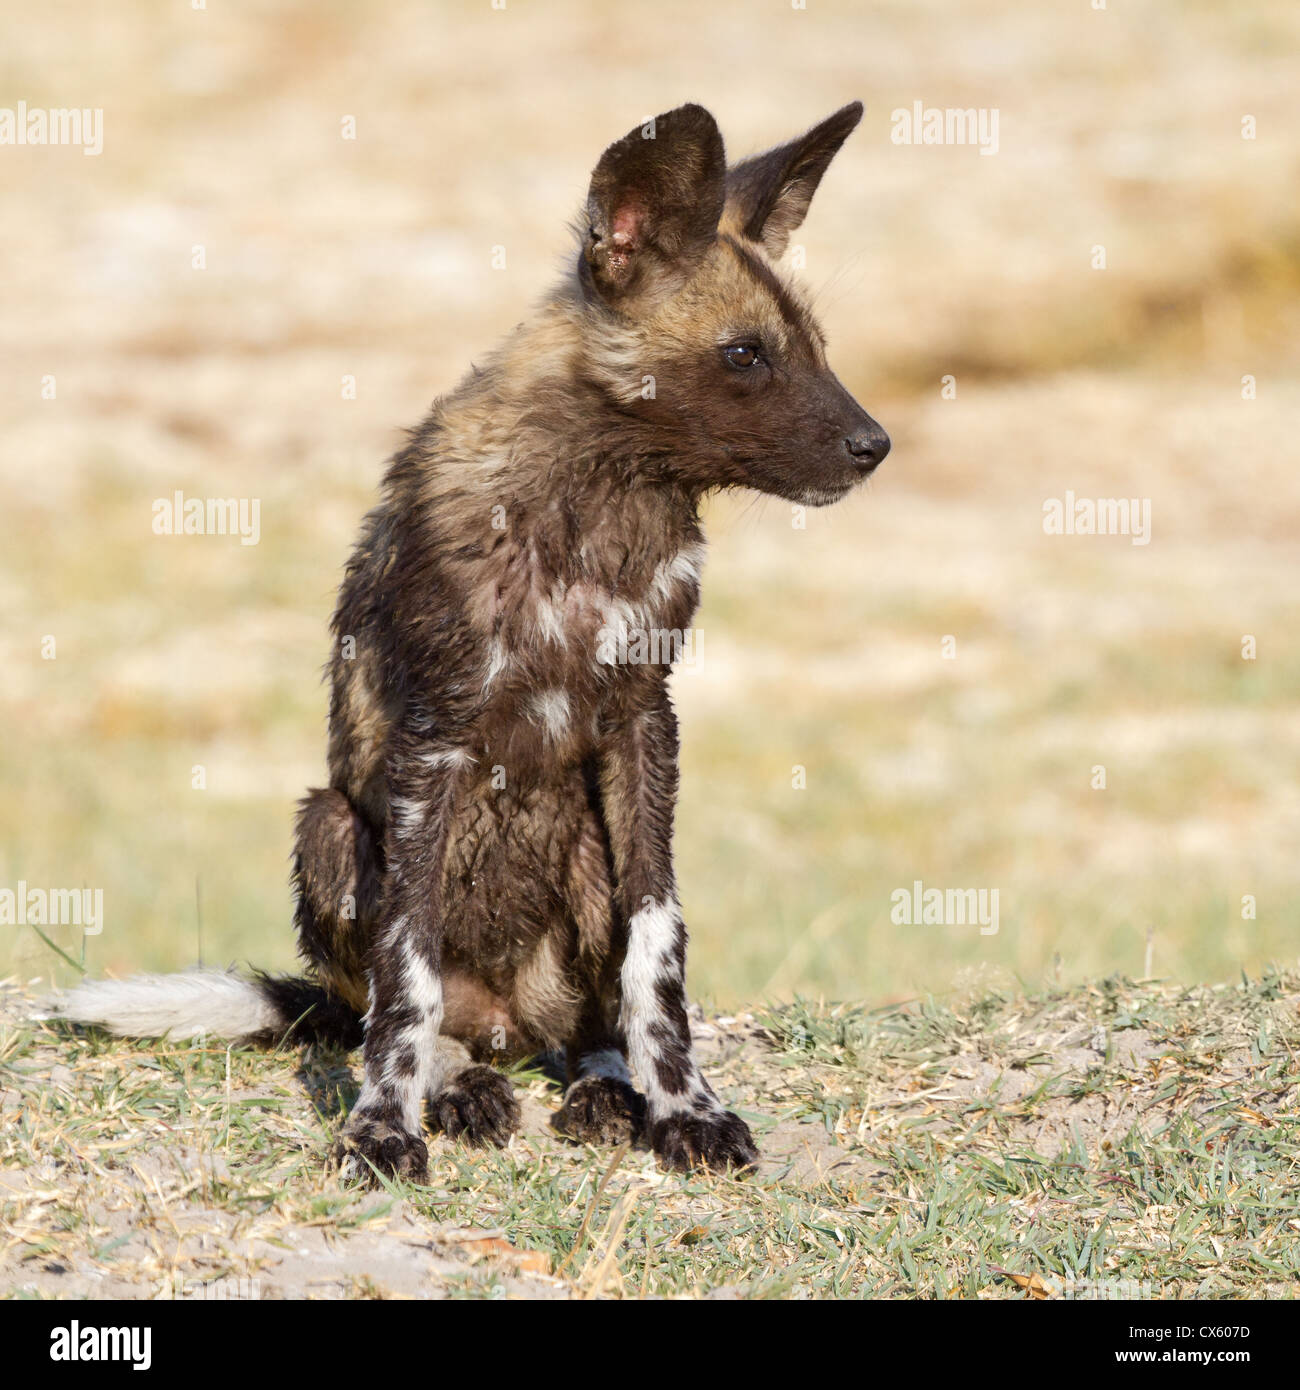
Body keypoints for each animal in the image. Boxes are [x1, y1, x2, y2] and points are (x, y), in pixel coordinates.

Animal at [48, 100, 884, 1184]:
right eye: (746, 355)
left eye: (815, 347)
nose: (875, 446)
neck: (595, 509)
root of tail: (508, 1023)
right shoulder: (431, 748)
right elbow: (407, 981)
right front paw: (382, 1129)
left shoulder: (642, 730)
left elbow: (656, 955)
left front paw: (684, 1110)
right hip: (329, 826)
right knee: (404, 1009)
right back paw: (460, 1085)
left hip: (582, 849)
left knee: (584, 1021)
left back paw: (602, 1088)